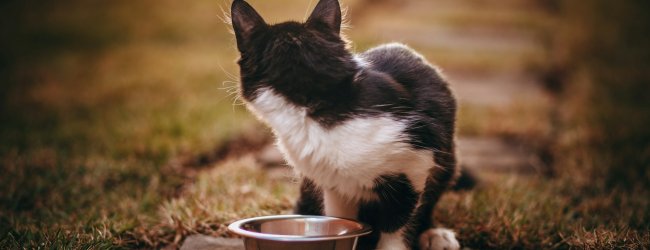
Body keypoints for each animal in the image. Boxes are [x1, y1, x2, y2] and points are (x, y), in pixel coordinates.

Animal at [230, 0, 458, 249]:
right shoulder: (331, 179)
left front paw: (393, 244)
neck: (318, 102)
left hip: (447, 159)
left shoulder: (417, 159)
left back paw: (436, 235)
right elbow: (340, 217)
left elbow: (399, 220)